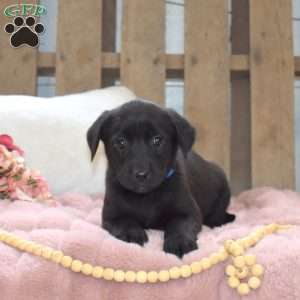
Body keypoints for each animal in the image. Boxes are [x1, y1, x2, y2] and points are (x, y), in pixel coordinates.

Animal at [86, 100, 234, 258]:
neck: (145, 197)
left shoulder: (189, 213)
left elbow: (179, 226)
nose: (141, 175)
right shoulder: (111, 216)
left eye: (157, 140)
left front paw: (179, 242)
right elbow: (124, 222)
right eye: (121, 142)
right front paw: (131, 233)